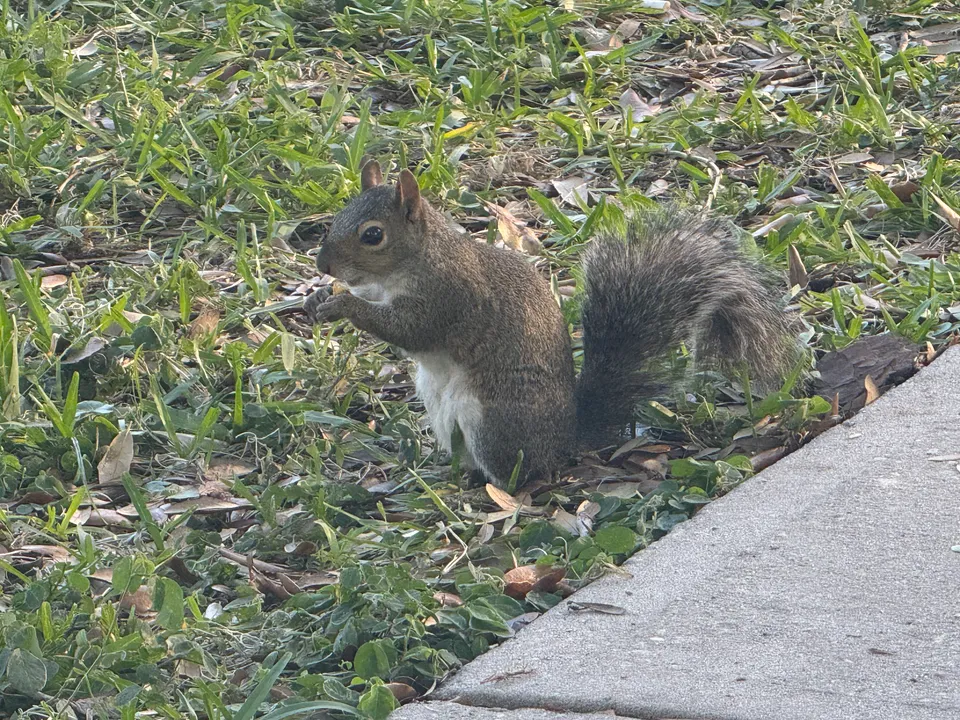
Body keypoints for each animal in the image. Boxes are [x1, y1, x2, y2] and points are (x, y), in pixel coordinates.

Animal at [304, 161, 798, 489]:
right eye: (337, 216)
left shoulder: (449, 296)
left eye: (373, 235)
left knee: (520, 472)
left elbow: (411, 330)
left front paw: (342, 306)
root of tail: (566, 438)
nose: (323, 265)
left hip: (495, 420)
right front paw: (318, 299)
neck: (421, 256)